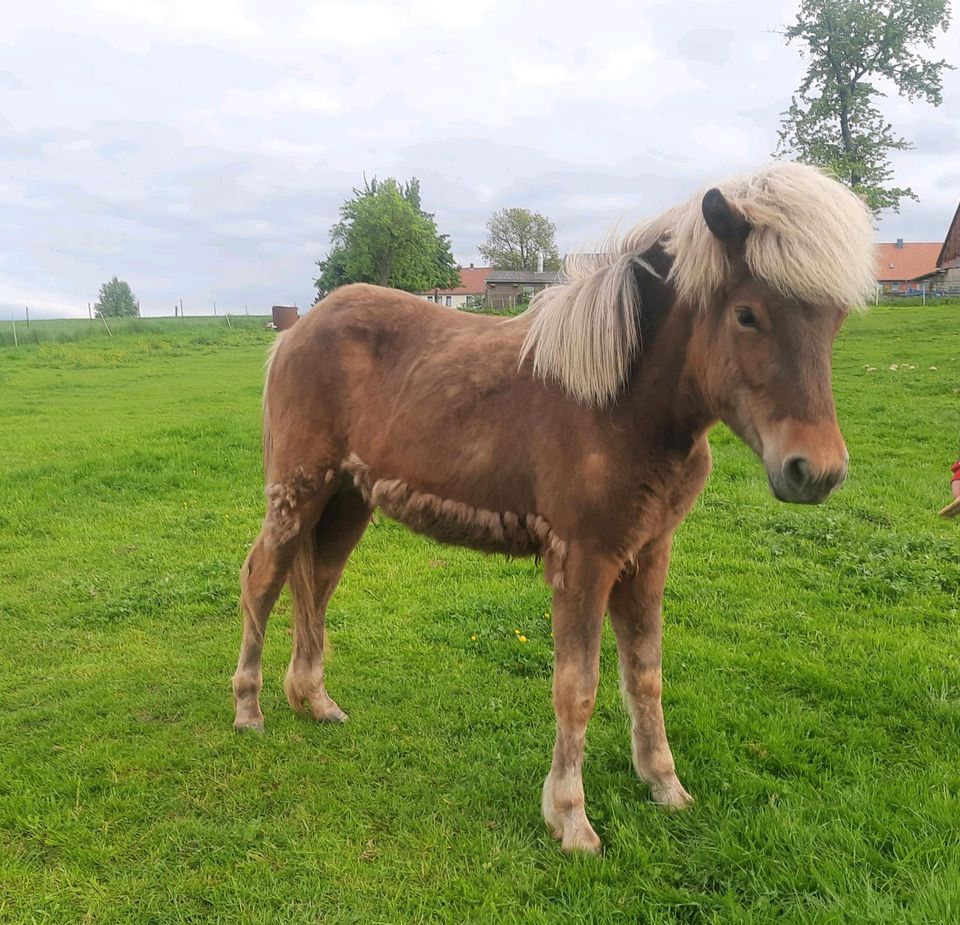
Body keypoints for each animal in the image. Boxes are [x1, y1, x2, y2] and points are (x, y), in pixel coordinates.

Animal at [234, 164, 876, 852]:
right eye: (747, 314)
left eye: (835, 320)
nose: (815, 471)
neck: (619, 404)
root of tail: (297, 329)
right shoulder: (585, 561)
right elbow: (578, 689)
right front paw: (571, 818)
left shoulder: (649, 553)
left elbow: (645, 674)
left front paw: (664, 786)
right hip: (299, 492)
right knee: (263, 578)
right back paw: (250, 709)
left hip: (348, 501)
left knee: (317, 582)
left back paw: (314, 701)